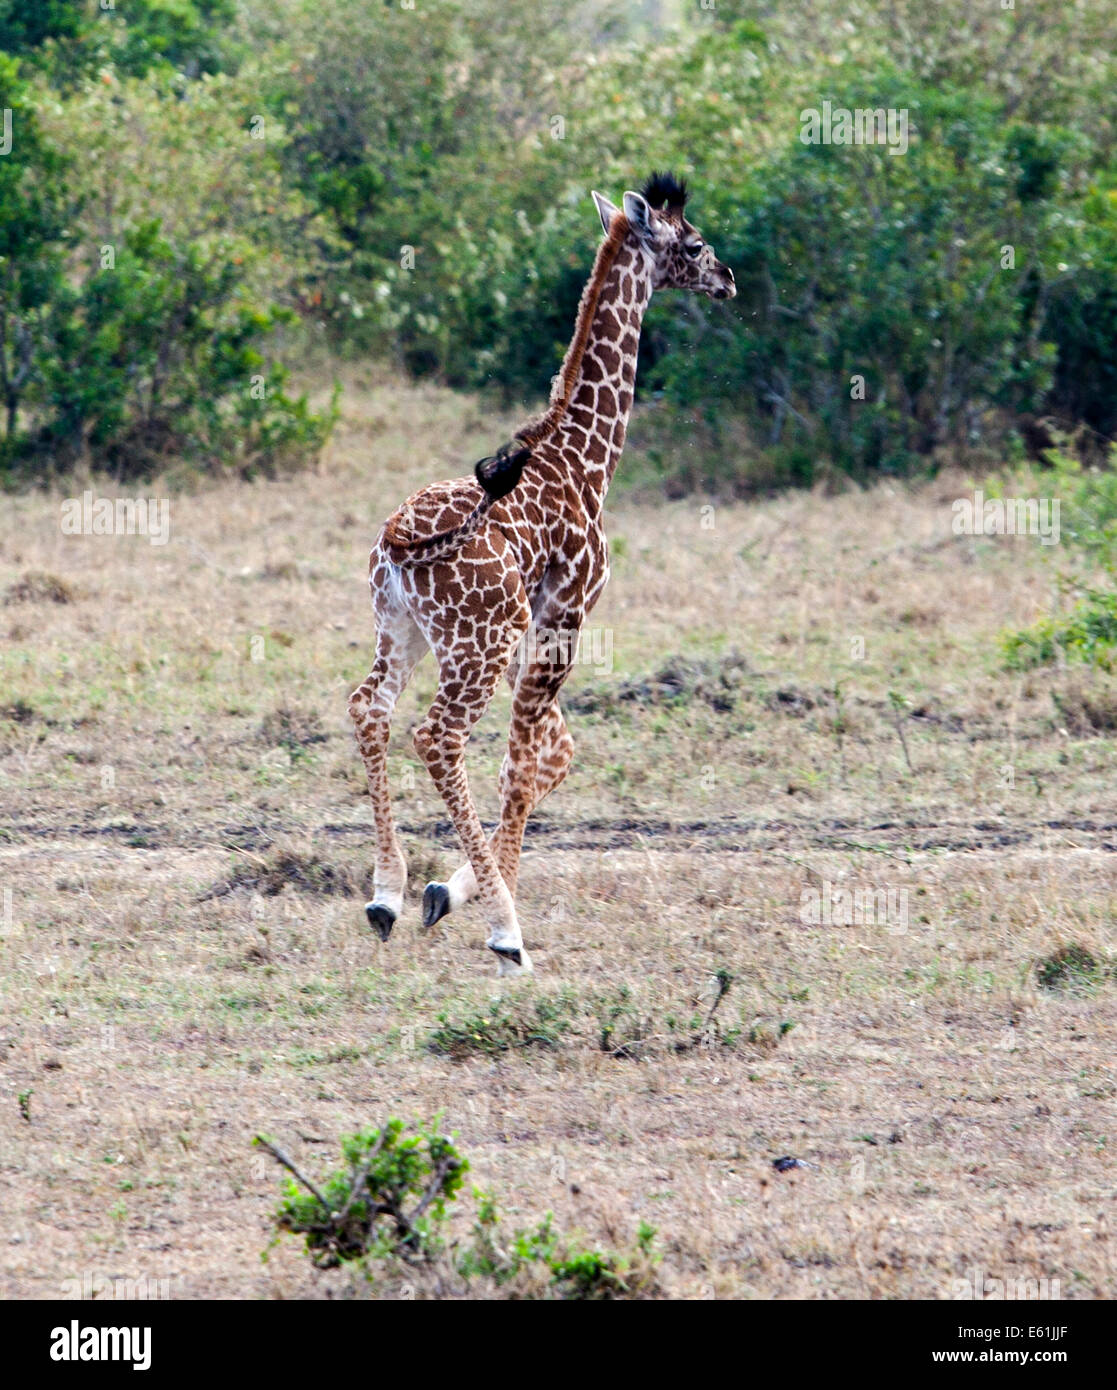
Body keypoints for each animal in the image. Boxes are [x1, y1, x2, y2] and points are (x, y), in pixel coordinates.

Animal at [347, 173, 733, 978]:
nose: (728, 279)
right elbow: (527, 762)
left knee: (370, 707)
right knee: (436, 734)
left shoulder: (540, 630)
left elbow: (552, 752)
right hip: (479, 642)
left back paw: (385, 895)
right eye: (692, 244)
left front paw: (443, 889)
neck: (588, 460)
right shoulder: (565, 616)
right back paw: (506, 930)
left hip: (402, 628)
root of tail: (398, 541)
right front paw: (490, 914)